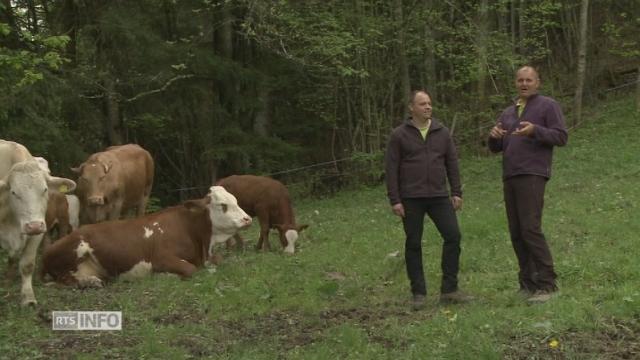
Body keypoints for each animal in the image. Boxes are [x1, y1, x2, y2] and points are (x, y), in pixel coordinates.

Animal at [0, 139, 76, 306]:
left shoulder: (37, 233)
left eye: (45, 189)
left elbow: (27, 265)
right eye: (14, 192)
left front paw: (28, 298)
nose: (33, 225)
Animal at [41, 186, 251, 286]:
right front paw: (164, 276)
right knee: (63, 280)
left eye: (235, 200)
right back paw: (90, 283)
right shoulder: (161, 258)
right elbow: (190, 269)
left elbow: (218, 260)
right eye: (223, 205)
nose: (247, 219)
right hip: (76, 250)